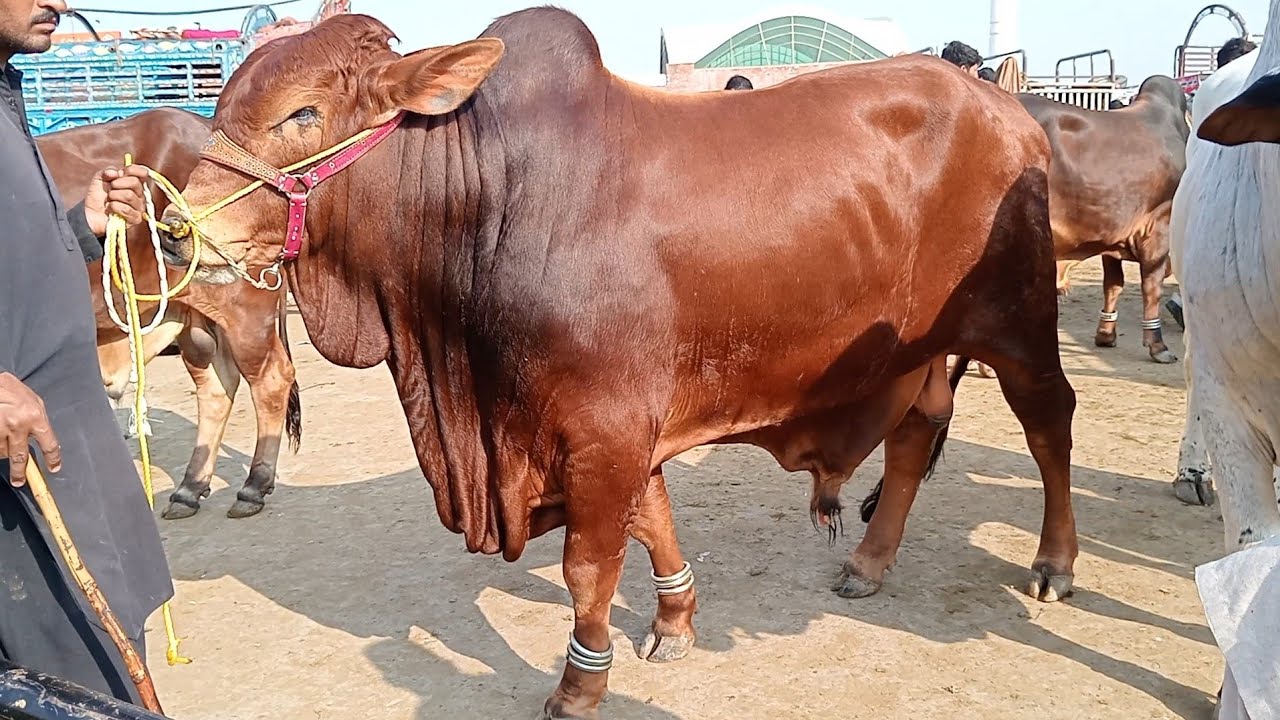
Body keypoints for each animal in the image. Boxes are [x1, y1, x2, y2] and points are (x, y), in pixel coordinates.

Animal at [36, 108, 302, 520]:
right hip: (193, 319)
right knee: (216, 386)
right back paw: (190, 488)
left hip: (244, 310)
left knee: (270, 378)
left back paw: (254, 485)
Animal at [156, 12, 1078, 719]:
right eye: (221, 106)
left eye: (302, 113)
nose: (173, 229)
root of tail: (1012, 110)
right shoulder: (617, 426)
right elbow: (653, 520)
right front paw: (675, 622)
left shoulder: (603, 430)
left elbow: (588, 567)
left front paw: (578, 686)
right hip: (924, 349)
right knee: (917, 433)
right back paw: (869, 562)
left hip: (1020, 327)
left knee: (1049, 425)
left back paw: (1055, 564)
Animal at [1018, 78, 1189, 363]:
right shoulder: (1159, 226)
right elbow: (1151, 287)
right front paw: (1158, 346)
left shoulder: (1113, 236)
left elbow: (1113, 285)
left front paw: (1106, 335)